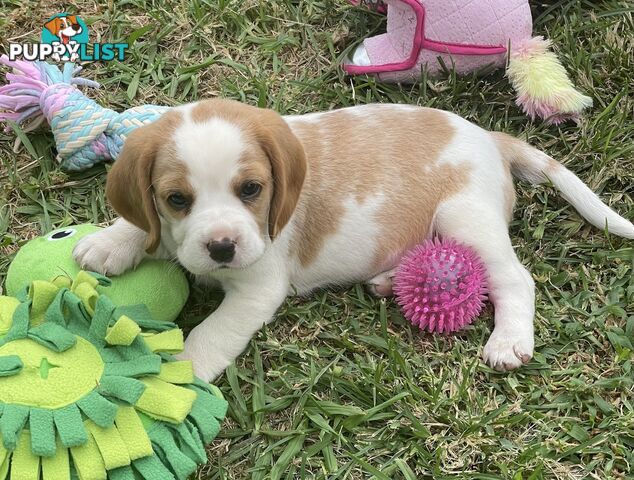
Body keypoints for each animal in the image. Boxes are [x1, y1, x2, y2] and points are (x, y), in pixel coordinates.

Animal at [74, 99, 632, 380]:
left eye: (251, 189)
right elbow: (142, 225)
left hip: (465, 219)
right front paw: (109, 242)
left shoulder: (256, 289)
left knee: (514, 279)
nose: (221, 248)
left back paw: (510, 340)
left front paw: (182, 372)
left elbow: (211, 333)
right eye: (176, 199)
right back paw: (389, 280)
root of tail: (489, 138)